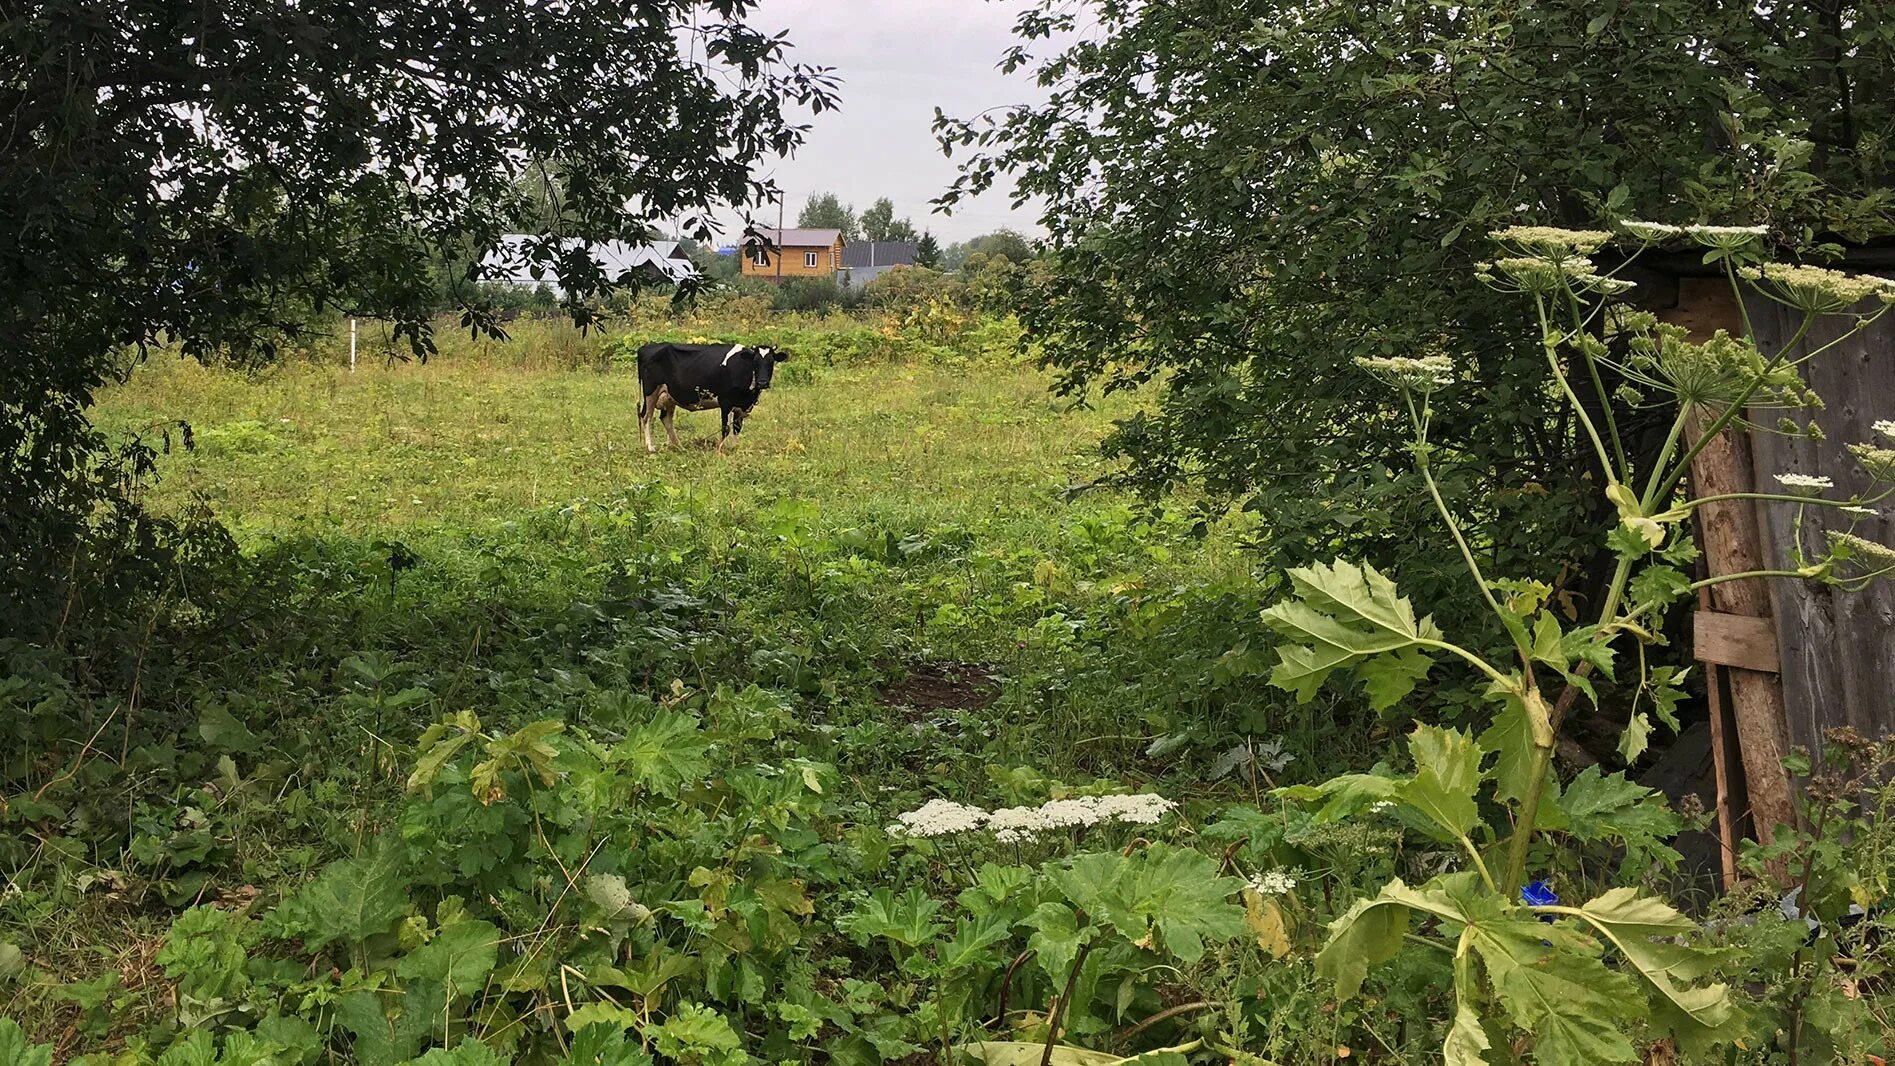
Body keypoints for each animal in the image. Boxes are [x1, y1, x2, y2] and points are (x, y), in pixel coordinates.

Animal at [632, 344, 788, 452]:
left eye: (771, 362)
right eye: (755, 362)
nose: (763, 382)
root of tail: (646, 347)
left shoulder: (742, 406)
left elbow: (737, 428)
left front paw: (734, 448)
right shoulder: (725, 402)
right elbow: (725, 428)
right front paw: (720, 450)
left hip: (669, 396)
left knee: (666, 419)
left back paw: (679, 446)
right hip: (650, 392)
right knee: (646, 416)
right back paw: (650, 447)